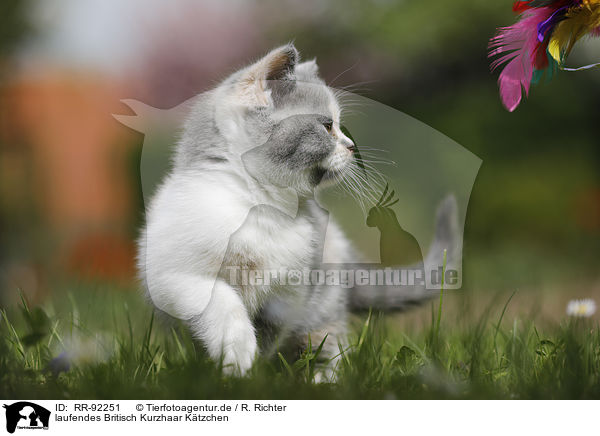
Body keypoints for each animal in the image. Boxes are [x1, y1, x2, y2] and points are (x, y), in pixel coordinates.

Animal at [139, 44, 460, 378]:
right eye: (328, 126)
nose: (351, 146)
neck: (263, 207)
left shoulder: (294, 289)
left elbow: (272, 329)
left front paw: (256, 367)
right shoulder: (172, 274)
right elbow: (220, 299)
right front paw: (238, 354)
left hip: (325, 303)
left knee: (327, 344)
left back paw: (321, 380)